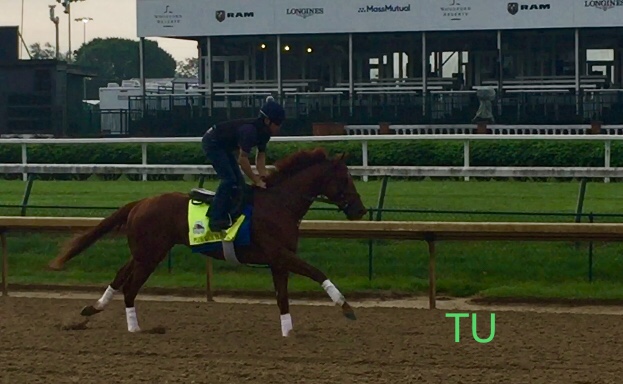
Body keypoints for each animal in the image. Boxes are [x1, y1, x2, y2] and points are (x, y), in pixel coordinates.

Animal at [51, 147, 370, 336]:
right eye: (345, 179)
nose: (360, 210)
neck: (280, 203)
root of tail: (141, 202)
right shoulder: (280, 253)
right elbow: (317, 272)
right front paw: (345, 306)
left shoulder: (278, 261)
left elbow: (282, 297)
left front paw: (288, 332)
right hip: (151, 254)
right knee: (131, 286)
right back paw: (135, 328)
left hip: (144, 251)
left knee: (120, 276)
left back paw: (93, 309)